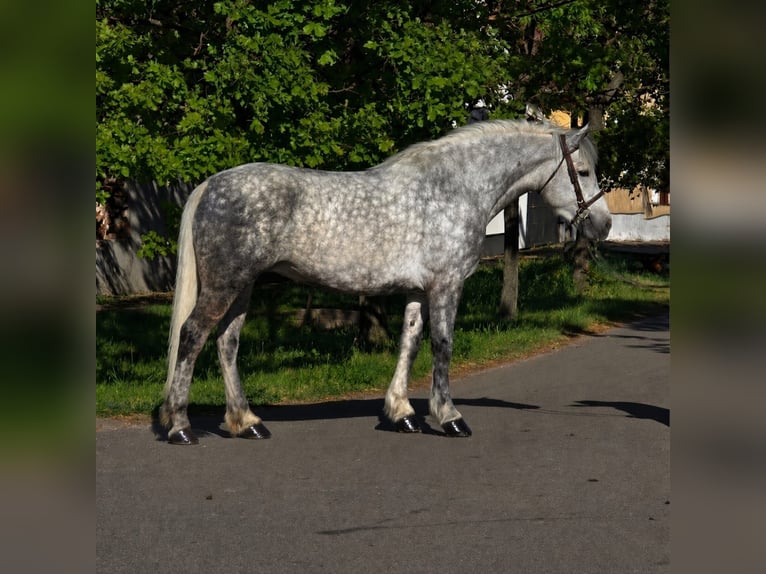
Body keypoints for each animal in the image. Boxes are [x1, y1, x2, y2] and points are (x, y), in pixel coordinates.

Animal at [159, 119, 612, 444]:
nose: (604, 225)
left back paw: (246, 422)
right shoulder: (446, 285)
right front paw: (449, 417)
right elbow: (442, 346)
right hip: (225, 285)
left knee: (227, 343)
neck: (454, 189)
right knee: (192, 336)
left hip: (243, 286)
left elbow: (408, 343)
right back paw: (180, 426)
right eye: (583, 171)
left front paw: (402, 414)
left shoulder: (417, 290)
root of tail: (209, 185)